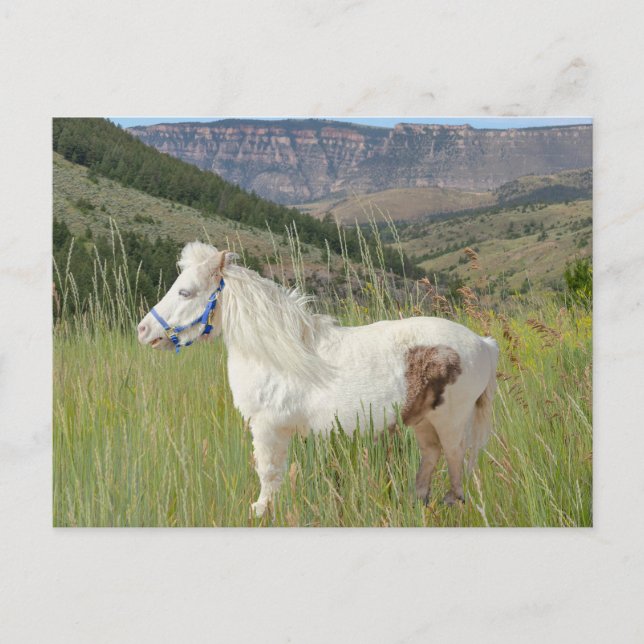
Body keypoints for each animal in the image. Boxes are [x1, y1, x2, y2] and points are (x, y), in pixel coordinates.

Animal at [137, 241, 500, 518]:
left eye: (185, 292)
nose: (143, 330)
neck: (276, 353)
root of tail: (483, 343)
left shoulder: (267, 428)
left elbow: (268, 472)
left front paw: (260, 511)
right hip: (423, 421)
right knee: (431, 455)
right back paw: (417, 500)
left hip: (451, 421)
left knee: (455, 460)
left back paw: (452, 503)